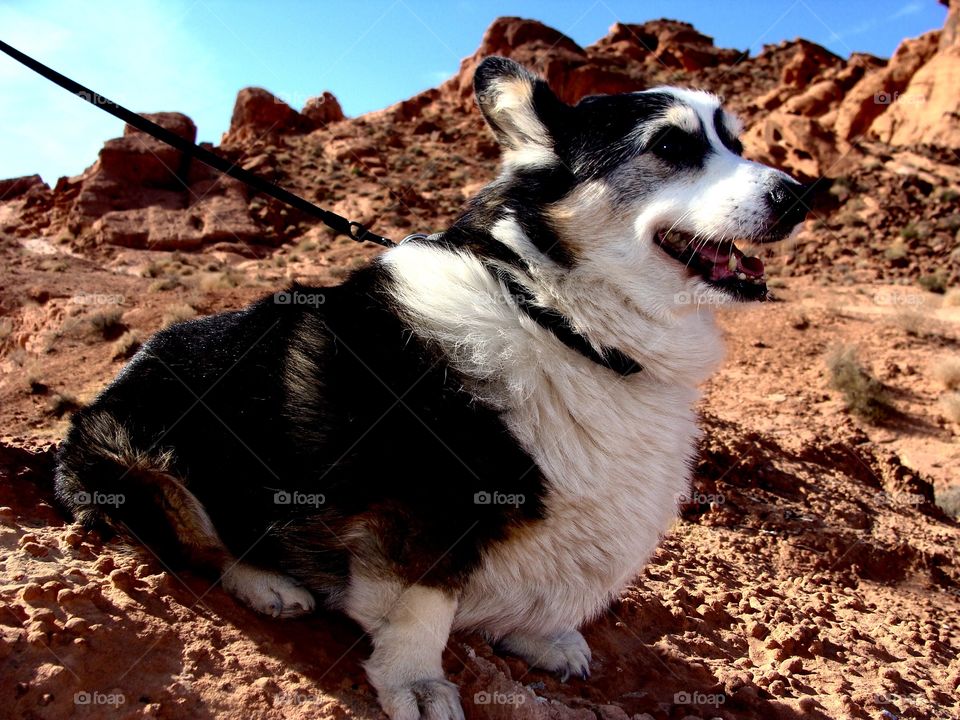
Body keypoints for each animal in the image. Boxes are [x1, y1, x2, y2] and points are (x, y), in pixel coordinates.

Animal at [56, 57, 808, 720]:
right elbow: (423, 609)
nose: (801, 195)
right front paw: (416, 685)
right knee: (196, 542)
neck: (559, 316)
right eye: (671, 146)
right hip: (142, 455)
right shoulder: (426, 505)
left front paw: (544, 640)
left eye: (735, 142)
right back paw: (270, 585)